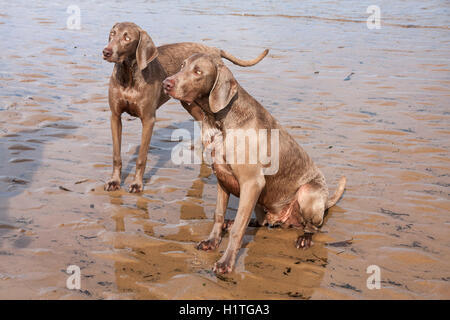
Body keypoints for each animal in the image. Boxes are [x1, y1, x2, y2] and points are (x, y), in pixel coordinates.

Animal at [102, 21, 268, 192]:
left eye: (127, 38)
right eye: (112, 33)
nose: (106, 51)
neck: (128, 77)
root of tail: (214, 49)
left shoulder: (148, 119)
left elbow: (141, 158)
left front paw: (137, 184)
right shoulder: (115, 116)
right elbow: (116, 155)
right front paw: (114, 181)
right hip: (190, 103)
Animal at [163, 53, 346, 274]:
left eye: (198, 71)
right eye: (182, 66)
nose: (166, 83)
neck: (220, 120)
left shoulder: (252, 182)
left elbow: (238, 230)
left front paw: (226, 263)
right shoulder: (222, 178)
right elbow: (218, 215)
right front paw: (212, 242)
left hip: (308, 191)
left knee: (313, 226)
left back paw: (305, 238)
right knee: (260, 221)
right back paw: (236, 222)